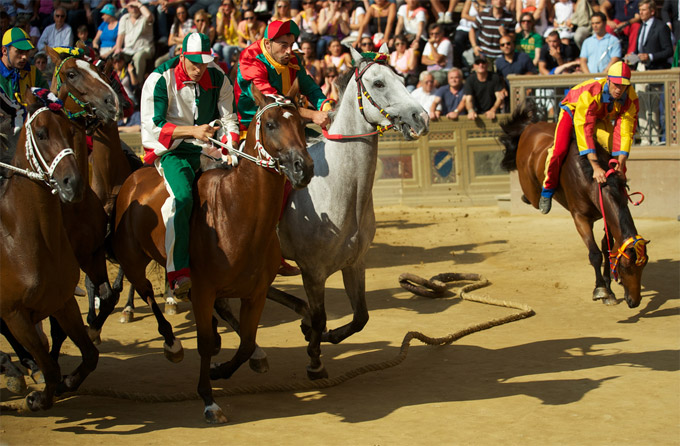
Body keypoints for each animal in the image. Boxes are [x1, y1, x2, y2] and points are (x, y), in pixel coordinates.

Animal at [0, 88, 99, 412]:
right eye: (41, 133)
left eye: (71, 132)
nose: (73, 183)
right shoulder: (15, 315)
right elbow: (49, 365)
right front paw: (40, 398)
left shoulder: (62, 301)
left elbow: (90, 355)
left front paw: (67, 383)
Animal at [111, 85, 314, 424]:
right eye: (271, 124)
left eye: (301, 123)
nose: (304, 167)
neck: (236, 214)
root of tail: (134, 180)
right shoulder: (204, 290)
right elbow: (204, 343)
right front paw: (208, 399)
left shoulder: (255, 293)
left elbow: (245, 343)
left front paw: (223, 370)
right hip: (133, 259)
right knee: (145, 290)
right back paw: (170, 342)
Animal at [268, 46, 428, 380]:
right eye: (378, 83)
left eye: (401, 78)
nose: (422, 117)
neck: (341, 189)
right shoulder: (312, 272)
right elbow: (320, 316)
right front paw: (315, 360)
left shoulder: (355, 263)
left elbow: (360, 317)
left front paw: (324, 336)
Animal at [500, 102, 648, 308]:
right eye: (625, 266)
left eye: (644, 265)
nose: (634, 301)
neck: (593, 181)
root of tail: (529, 127)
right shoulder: (580, 217)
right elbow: (595, 253)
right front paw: (600, 289)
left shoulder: (607, 218)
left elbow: (606, 248)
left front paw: (609, 290)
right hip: (529, 185)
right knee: (531, 197)